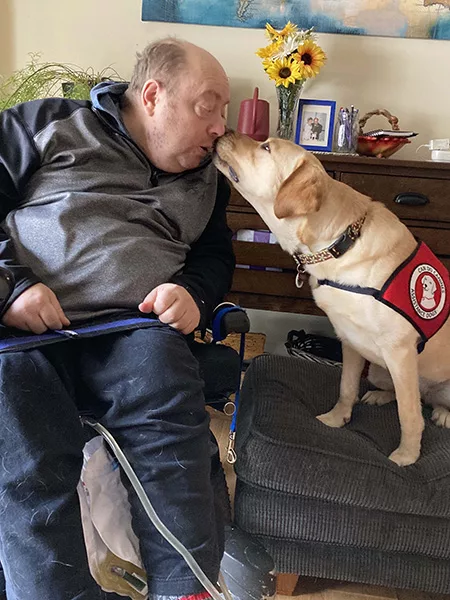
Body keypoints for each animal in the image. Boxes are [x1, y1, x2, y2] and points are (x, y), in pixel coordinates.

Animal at [214, 134, 450, 466]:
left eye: (266, 147)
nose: (223, 133)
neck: (341, 243)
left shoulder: (400, 350)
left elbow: (409, 414)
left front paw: (406, 456)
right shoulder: (350, 340)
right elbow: (347, 387)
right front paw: (336, 420)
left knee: (424, 403)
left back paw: (443, 415)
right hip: (378, 369)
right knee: (405, 394)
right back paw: (378, 395)